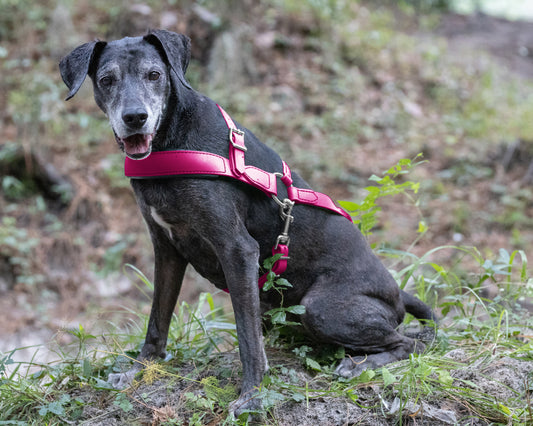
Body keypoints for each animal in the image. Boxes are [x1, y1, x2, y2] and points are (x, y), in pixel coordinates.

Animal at [59, 30, 432, 416]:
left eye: (154, 75)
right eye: (107, 80)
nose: (135, 117)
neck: (170, 142)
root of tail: (397, 294)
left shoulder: (237, 250)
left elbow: (247, 338)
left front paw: (252, 396)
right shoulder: (166, 249)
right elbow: (157, 320)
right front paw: (140, 368)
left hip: (322, 308)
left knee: (412, 343)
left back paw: (361, 364)